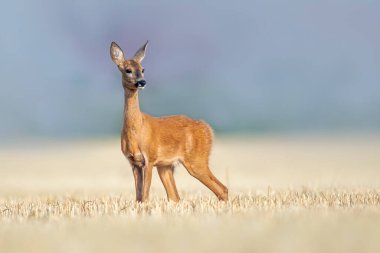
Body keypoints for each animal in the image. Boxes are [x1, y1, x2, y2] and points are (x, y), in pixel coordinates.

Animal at [110, 40, 229, 202]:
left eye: (143, 69)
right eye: (128, 70)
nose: (142, 82)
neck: (136, 129)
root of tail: (207, 128)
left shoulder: (150, 158)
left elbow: (145, 196)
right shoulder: (134, 162)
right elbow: (139, 197)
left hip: (196, 160)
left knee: (222, 189)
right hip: (166, 167)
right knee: (175, 197)